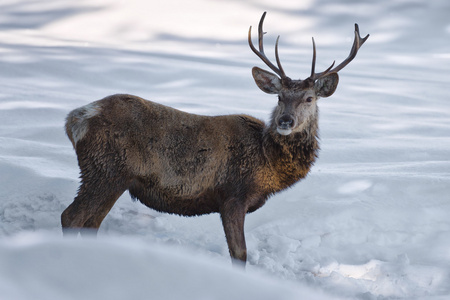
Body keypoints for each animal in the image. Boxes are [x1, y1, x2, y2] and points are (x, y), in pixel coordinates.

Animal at [60, 11, 370, 266]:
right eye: (280, 97)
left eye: (309, 98)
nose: (285, 121)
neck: (267, 162)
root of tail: (75, 119)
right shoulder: (233, 194)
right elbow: (239, 253)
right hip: (106, 169)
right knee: (71, 216)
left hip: (111, 175)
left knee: (90, 223)